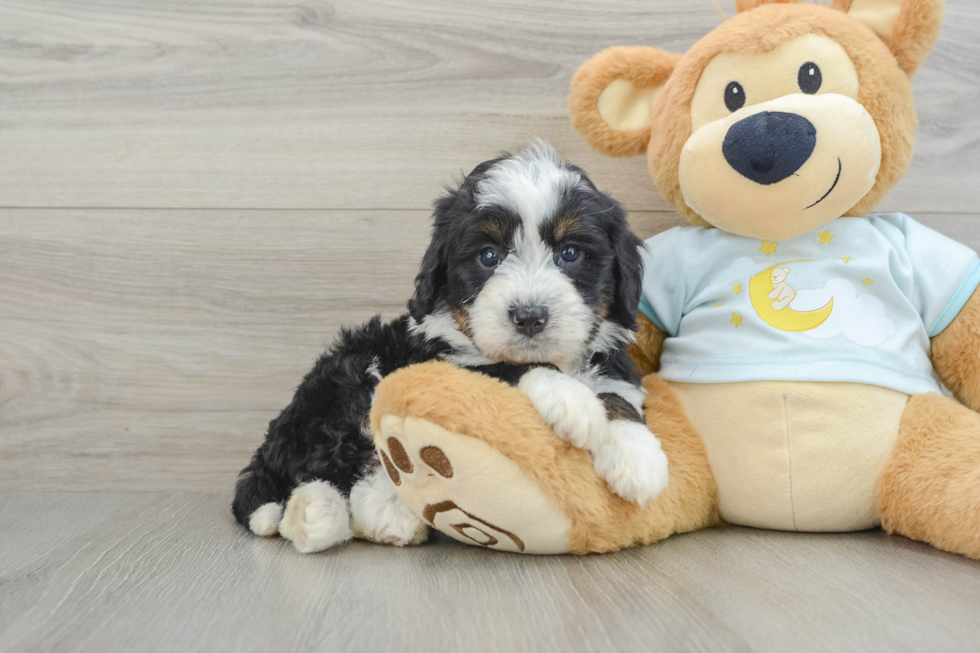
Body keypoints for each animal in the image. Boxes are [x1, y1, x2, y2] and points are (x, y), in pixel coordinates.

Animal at [234, 141, 668, 552]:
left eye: (570, 253)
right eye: (489, 256)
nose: (529, 316)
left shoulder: (615, 366)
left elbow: (619, 397)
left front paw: (638, 456)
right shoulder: (439, 363)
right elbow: (506, 366)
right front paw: (571, 398)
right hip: (351, 376)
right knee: (338, 469)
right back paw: (346, 513)